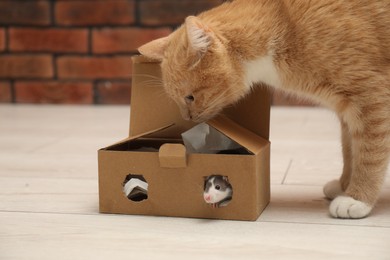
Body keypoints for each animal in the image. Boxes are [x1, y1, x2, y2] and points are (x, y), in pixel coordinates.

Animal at [139, 0, 388, 219]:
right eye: (177, 99)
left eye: (189, 97)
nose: (187, 117)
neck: (286, 25)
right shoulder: (347, 112)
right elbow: (349, 150)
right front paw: (344, 185)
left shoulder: (372, 99)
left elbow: (369, 154)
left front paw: (357, 198)